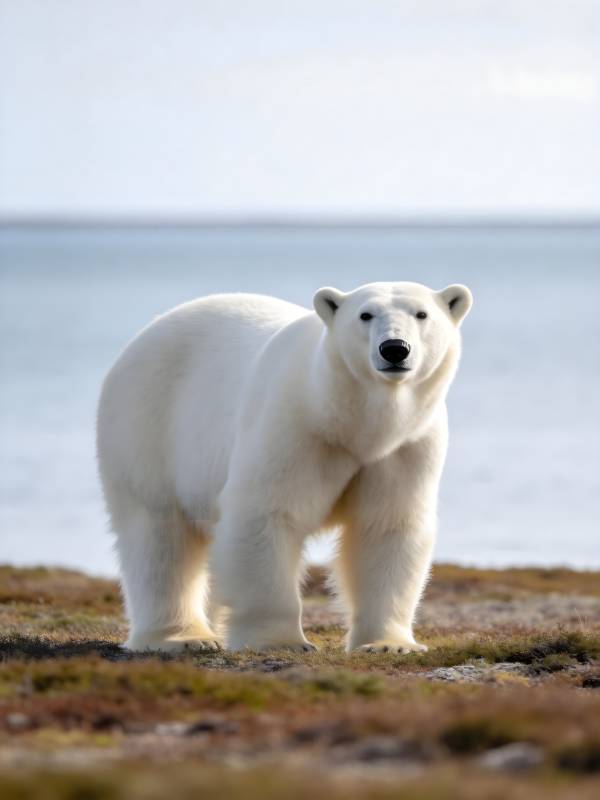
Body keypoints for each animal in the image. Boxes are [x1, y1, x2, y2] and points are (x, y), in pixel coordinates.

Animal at [96, 281, 472, 653]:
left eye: (421, 314)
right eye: (365, 315)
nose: (395, 349)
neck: (344, 417)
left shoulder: (405, 448)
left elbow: (386, 526)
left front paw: (388, 644)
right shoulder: (293, 426)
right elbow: (267, 513)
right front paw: (279, 641)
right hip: (148, 424)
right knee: (159, 535)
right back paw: (185, 638)